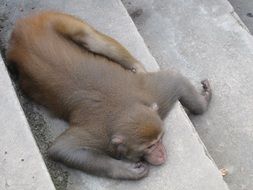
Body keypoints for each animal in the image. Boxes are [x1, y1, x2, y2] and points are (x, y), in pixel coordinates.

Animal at [6, 11, 211, 180]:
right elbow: (62, 149)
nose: (161, 153)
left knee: (90, 38)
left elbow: (175, 78)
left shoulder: (157, 97)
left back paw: (136, 67)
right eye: (149, 147)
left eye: (160, 139)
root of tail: (21, 26)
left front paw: (205, 99)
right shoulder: (99, 136)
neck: (122, 108)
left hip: (53, 19)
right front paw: (126, 170)